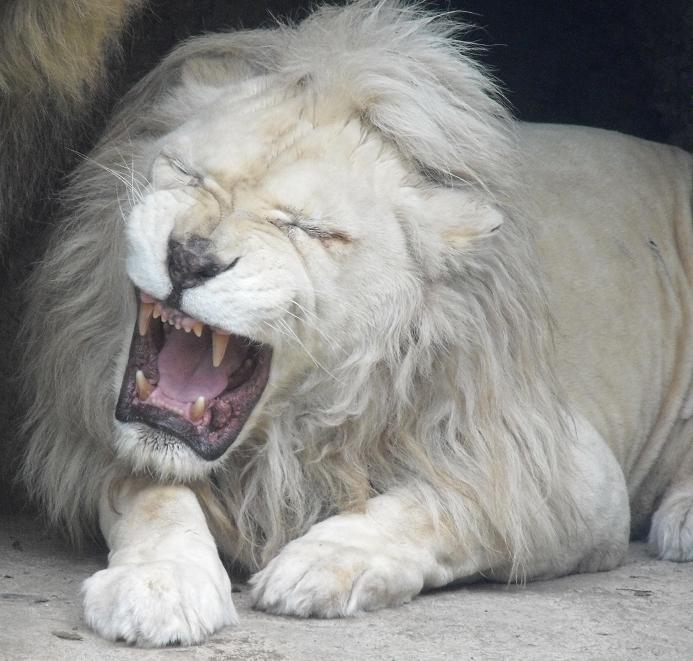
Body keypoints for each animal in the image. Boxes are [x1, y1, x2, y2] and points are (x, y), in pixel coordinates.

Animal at [20, 0, 693, 647]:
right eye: (186, 173)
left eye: (309, 229)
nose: (189, 258)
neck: (284, 436)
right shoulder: (93, 434)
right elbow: (154, 495)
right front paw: (158, 586)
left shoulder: (559, 470)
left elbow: (439, 504)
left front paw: (320, 563)